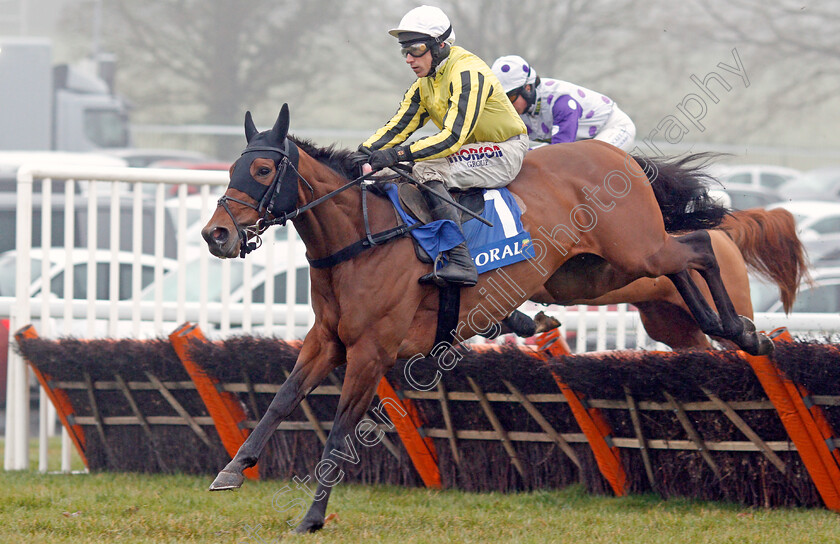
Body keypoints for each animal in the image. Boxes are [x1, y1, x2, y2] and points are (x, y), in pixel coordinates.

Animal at [200, 105, 772, 532]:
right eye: (231, 169)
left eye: (263, 170)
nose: (216, 235)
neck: (360, 237)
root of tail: (618, 155)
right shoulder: (327, 340)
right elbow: (281, 399)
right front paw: (232, 469)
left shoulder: (371, 351)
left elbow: (341, 429)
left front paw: (312, 516)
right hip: (592, 274)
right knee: (682, 261)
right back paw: (729, 329)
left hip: (634, 250)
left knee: (698, 247)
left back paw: (745, 332)